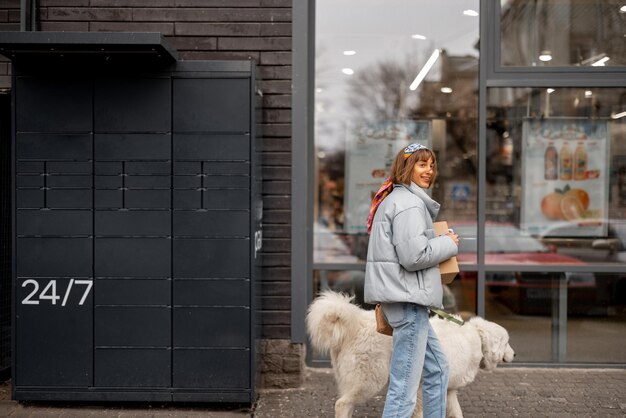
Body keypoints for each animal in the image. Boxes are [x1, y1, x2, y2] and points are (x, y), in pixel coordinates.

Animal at [304, 290, 516, 418]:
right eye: (507, 342)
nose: (514, 355)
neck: (477, 339)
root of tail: (356, 323)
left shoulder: (448, 389)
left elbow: (456, 413)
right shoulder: (423, 387)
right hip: (370, 381)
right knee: (342, 403)